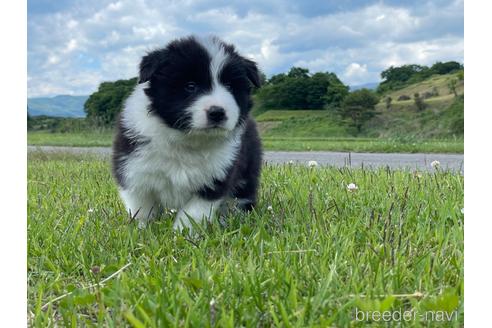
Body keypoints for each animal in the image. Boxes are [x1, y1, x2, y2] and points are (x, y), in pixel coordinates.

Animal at [112, 35, 264, 231]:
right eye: (190, 86)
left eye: (230, 87)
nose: (217, 112)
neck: (188, 139)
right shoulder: (133, 170)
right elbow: (142, 207)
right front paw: (141, 230)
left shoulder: (217, 176)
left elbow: (193, 211)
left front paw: (182, 233)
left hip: (248, 169)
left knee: (242, 195)